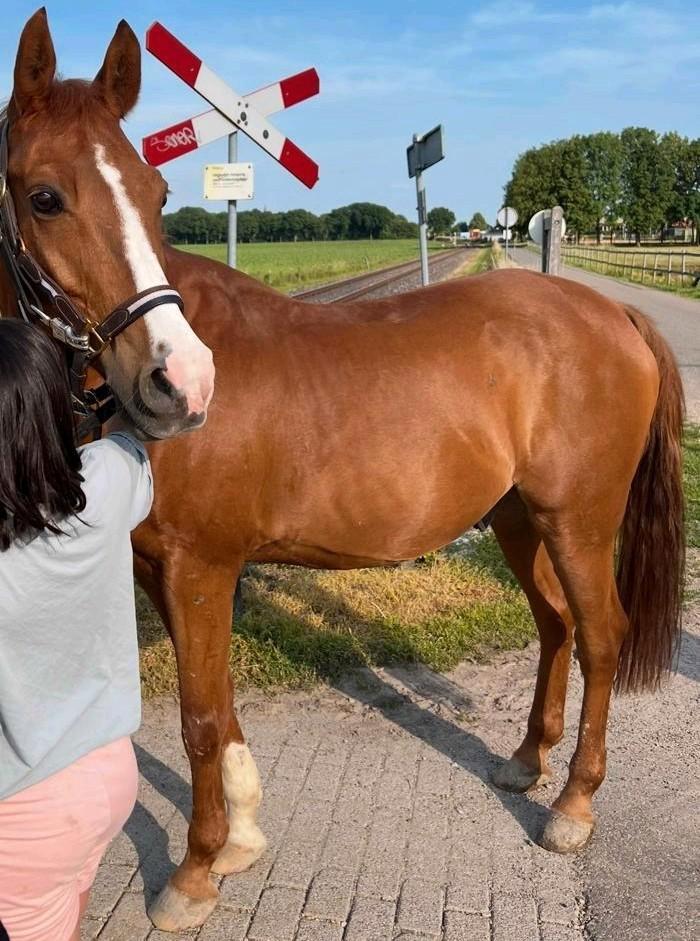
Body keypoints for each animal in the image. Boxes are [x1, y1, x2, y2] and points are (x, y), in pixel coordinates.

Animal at [2, 10, 685, 936]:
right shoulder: (163, 570)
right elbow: (221, 705)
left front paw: (196, 870)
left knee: (602, 635)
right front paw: (243, 835)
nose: (181, 381)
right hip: (517, 518)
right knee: (555, 626)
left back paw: (573, 805)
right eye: (45, 196)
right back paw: (524, 759)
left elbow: (200, 716)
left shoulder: (200, 567)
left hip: (578, 521)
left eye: (155, 195)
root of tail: (613, 312)